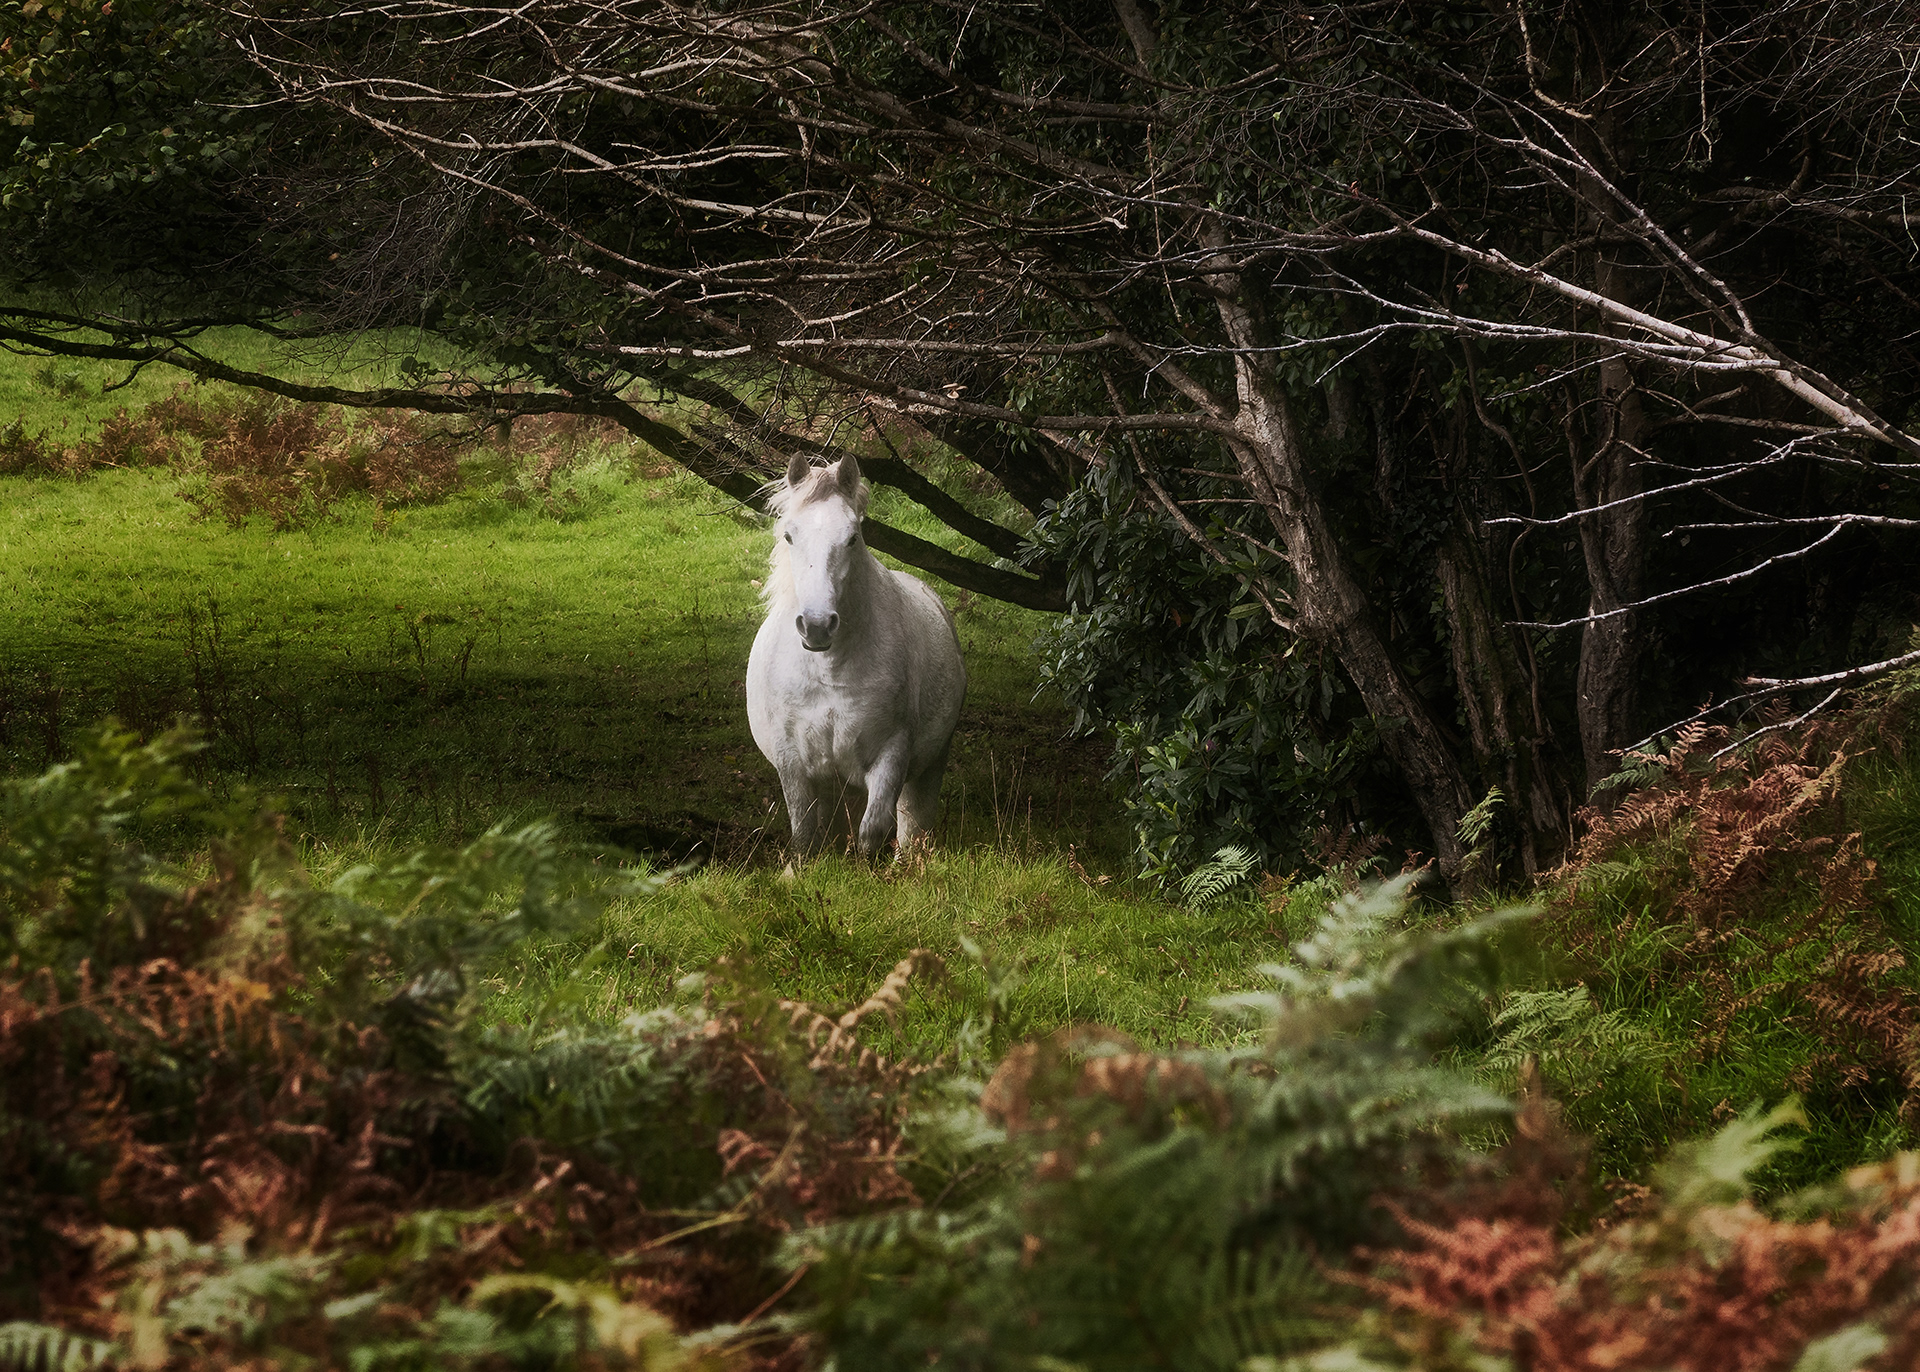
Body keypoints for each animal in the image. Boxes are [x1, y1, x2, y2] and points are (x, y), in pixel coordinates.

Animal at [746, 451, 967, 856]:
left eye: (852, 538)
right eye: (789, 535)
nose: (817, 626)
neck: (828, 672)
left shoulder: (892, 754)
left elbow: (872, 832)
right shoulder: (792, 762)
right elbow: (805, 837)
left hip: (927, 767)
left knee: (912, 827)